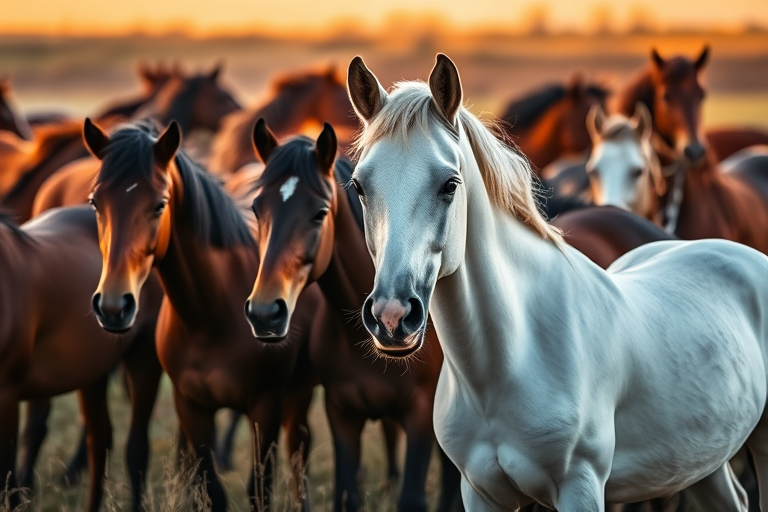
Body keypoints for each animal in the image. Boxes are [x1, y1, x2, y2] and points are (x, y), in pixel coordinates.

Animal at [82, 118, 322, 511]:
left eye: (160, 205)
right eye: (95, 202)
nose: (114, 307)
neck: (212, 319)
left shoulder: (266, 406)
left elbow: (260, 490)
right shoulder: (192, 407)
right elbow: (210, 489)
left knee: (299, 446)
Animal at [244, 118, 462, 512]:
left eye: (320, 213)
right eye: (256, 209)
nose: (266, 313)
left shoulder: (420, 414)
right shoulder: (341, 413)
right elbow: (347, 495)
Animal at [346, 53, 768, 511]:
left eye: (450, 184)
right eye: (359, 186)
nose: (392, 317)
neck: (510, 358)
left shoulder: (580, 488)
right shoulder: (479, 492)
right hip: (700, 462)